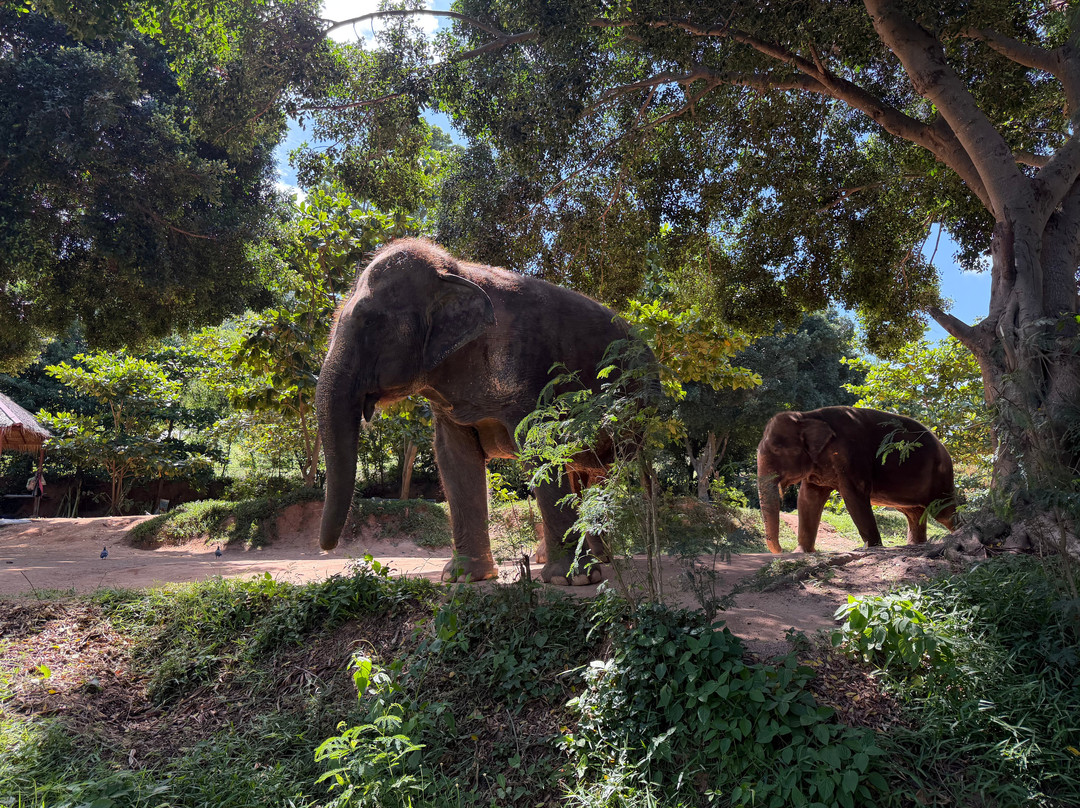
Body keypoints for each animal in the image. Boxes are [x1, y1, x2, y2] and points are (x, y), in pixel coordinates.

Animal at [316, 238, 647, 585]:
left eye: (368, 321)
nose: (327, 549)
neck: (459, 271)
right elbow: (454, 457)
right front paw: (463, 576)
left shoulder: (530, 374)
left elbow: (539, 448)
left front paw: (569, 579)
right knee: (583, 471)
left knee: (607, 469)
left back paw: (595, 561)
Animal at [756, 406, 957, 553]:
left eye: (776, 450)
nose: (782, 551)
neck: (807, 416)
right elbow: (807, 499)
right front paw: (801, 552)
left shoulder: (852, 455)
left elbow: (853, 496)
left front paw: (872, 548)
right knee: (914, 514)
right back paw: (915, 545)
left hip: (940, 478)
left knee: (944, 513)